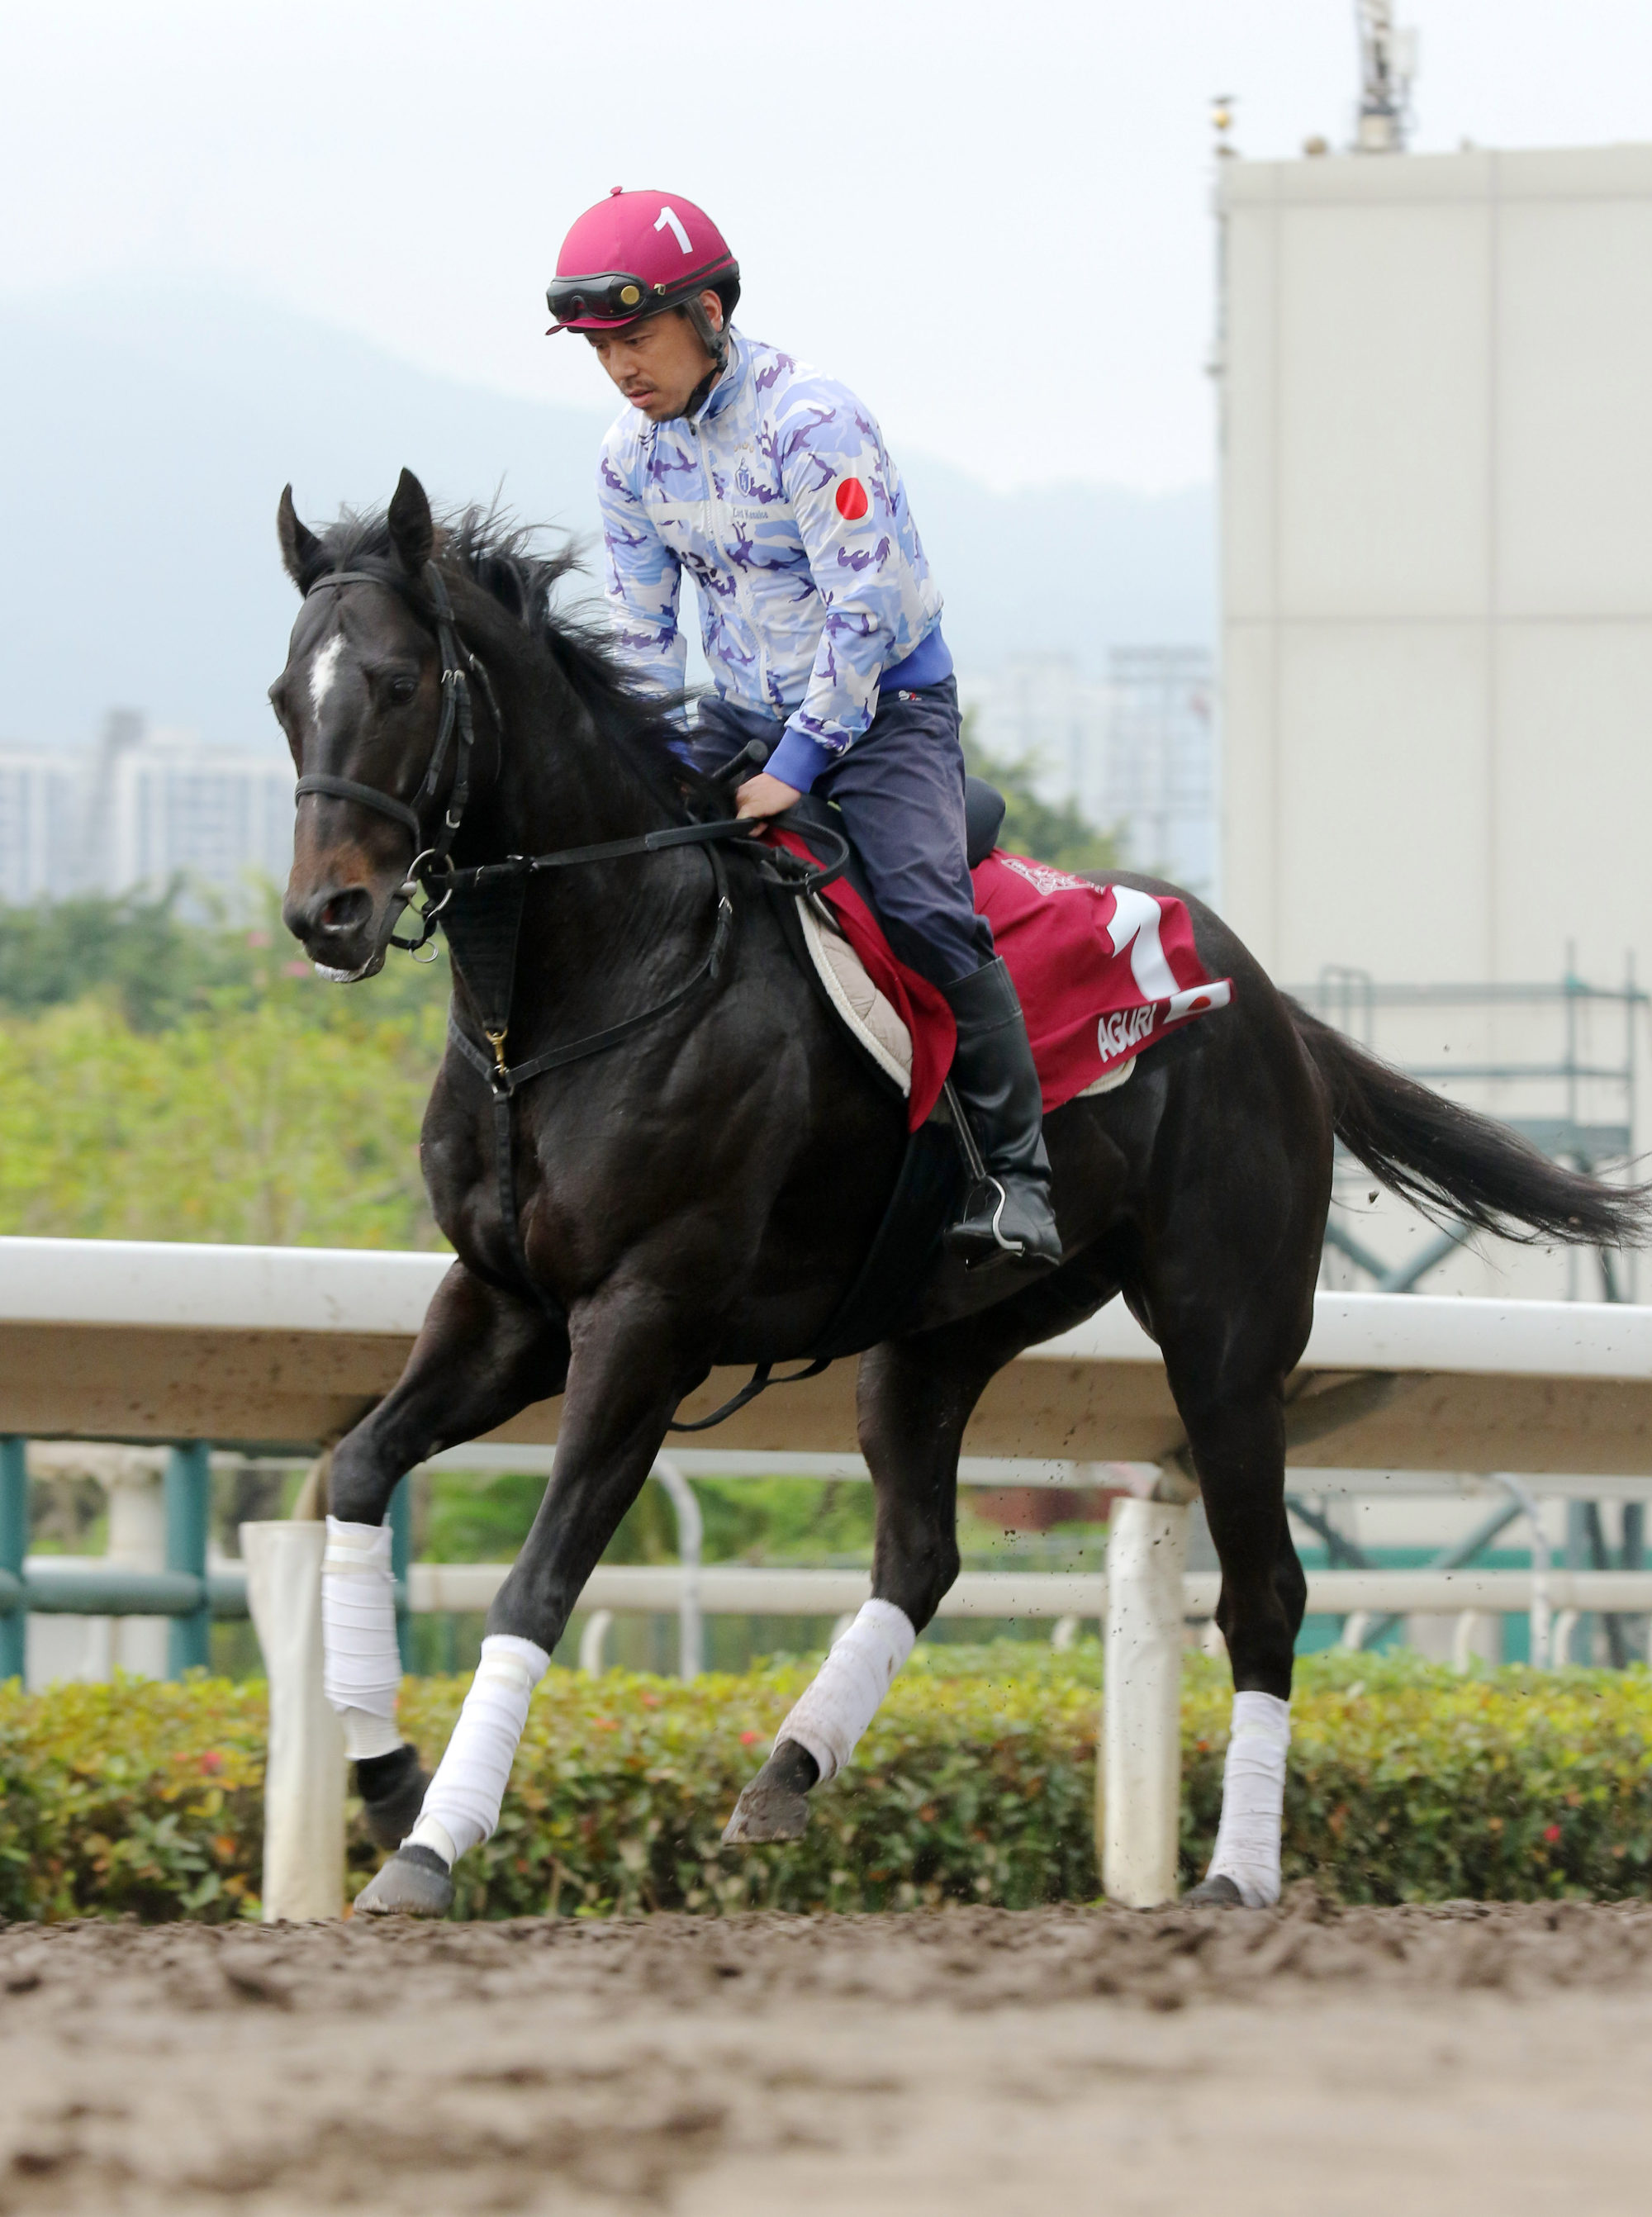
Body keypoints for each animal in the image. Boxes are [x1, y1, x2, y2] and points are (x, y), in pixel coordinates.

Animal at [270, 463, 1640, 1906]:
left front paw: (432, 1842)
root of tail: (1268, 1001)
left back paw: (1235, 1876)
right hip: (938, 1333)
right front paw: (385, 1774)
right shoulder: (504, 1304)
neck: (578, 994)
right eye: (284, 694)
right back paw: (790, 1768)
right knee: (923, 1553)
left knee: (1266, 1592)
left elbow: (536, 1584)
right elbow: (359, 1469)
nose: (327, 916)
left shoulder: (645, 1317)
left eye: (400, 683)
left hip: (1228, 1336)